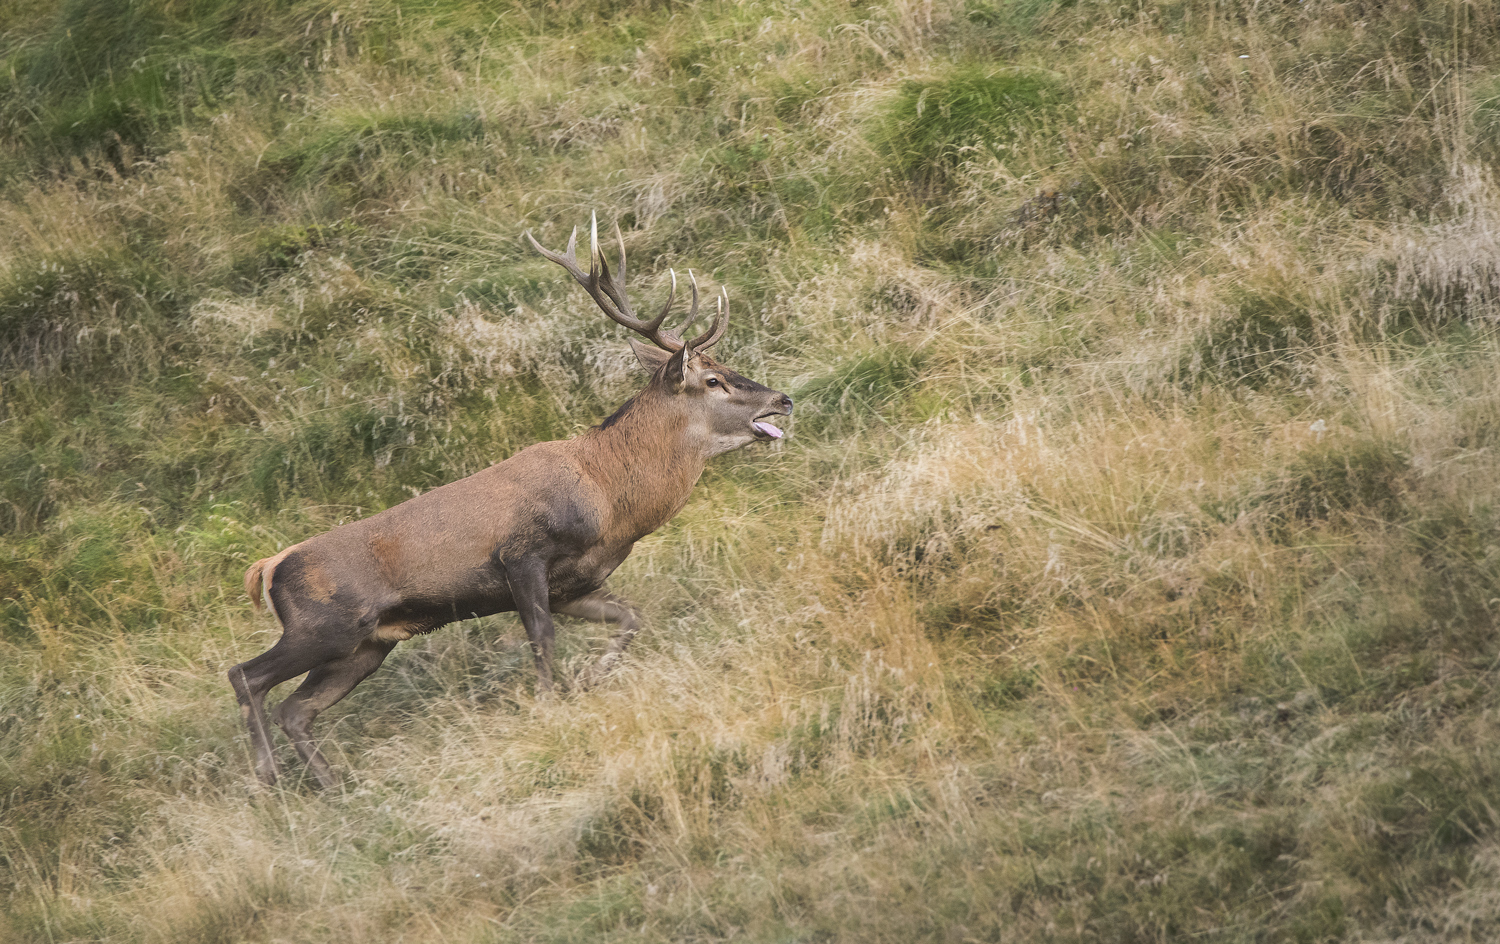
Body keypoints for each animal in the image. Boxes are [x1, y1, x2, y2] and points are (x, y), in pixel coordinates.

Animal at [228, 216, 793, 788]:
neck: (609, 497)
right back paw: (266, 778)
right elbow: (541, 638)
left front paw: (591, 676)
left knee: (296, 708)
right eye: (714, 379)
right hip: (324, 626)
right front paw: (551, 703)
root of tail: (269, 566)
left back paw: (332, 785)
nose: (783, 399)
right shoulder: (521, 554)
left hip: (365, 646)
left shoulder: (576, 582)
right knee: (245, 675)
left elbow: (631, 618)